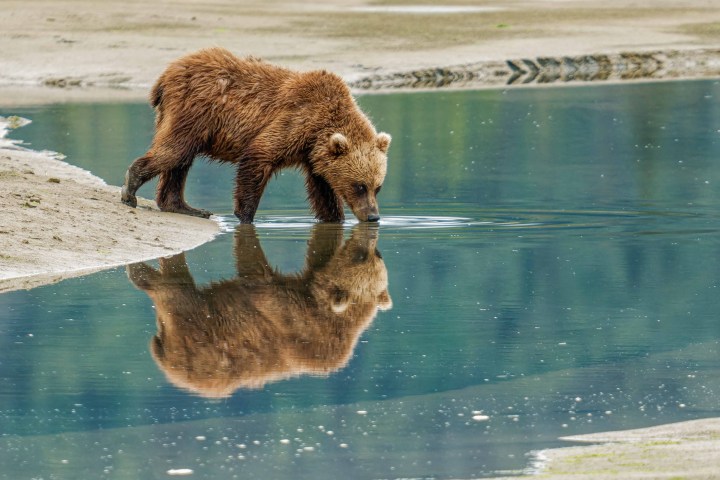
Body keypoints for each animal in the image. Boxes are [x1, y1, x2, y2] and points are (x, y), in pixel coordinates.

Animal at [121, 47, 391, 223]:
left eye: (377, 187)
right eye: (359, 185)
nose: (373, 216)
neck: (318, 131)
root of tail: (166, 75)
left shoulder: (314, 157)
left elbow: (323, 192)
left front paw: (335, 218)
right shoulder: (295, 121)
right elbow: (259, 155)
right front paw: (245, 216)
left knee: (180, 161)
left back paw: (184, 207)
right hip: (194, 111)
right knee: (175, 151)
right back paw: (131, 189)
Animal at [126, 223, 392, 398]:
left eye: (376, 255)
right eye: (361, 256)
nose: (373, 243)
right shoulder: (298, 321)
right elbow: (264, 292)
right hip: (196, 330)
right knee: (175, 294)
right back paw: (142, 275)